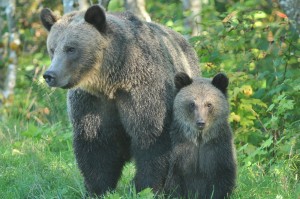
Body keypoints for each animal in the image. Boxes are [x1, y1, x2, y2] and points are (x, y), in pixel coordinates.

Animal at [39, 4, 199, 196]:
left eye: (71, 48)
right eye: (52, 48)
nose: (50, 75)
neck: (112, 81)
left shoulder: (145, 92)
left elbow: (152, 138)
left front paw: (143, 187)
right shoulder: (92, 102)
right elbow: (96, 144)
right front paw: (97, 189)